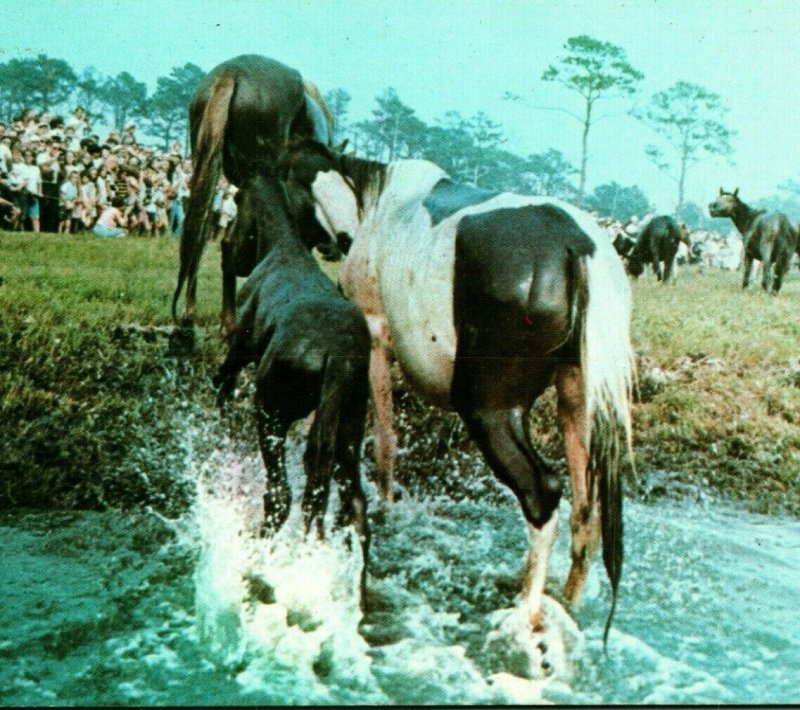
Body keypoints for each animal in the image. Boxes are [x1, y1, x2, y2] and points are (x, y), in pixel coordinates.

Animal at [172, 54, 338, 338]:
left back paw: (196, 315)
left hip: (209, 165)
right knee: (230, 242)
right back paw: (230, 323)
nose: (333, 250)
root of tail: (229, 74)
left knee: (200, 234)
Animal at [212, 171, 376, 608]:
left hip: (272, 409)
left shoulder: (241, 351)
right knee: (353, 506)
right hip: (349, 423)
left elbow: (225, 374)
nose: (224, 242)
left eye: (236, 206)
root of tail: (340, 355)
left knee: (281, 494)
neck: (282, 245)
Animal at [278, 142, 636, 644]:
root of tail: (577, 247)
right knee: (587, 510)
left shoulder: (374, 333)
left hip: (488, 409)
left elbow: (384, 442)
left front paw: (386, 506)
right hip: (577, 399)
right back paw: (566, 600)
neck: (374, 198)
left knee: (543, 493)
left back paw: (528, 614)